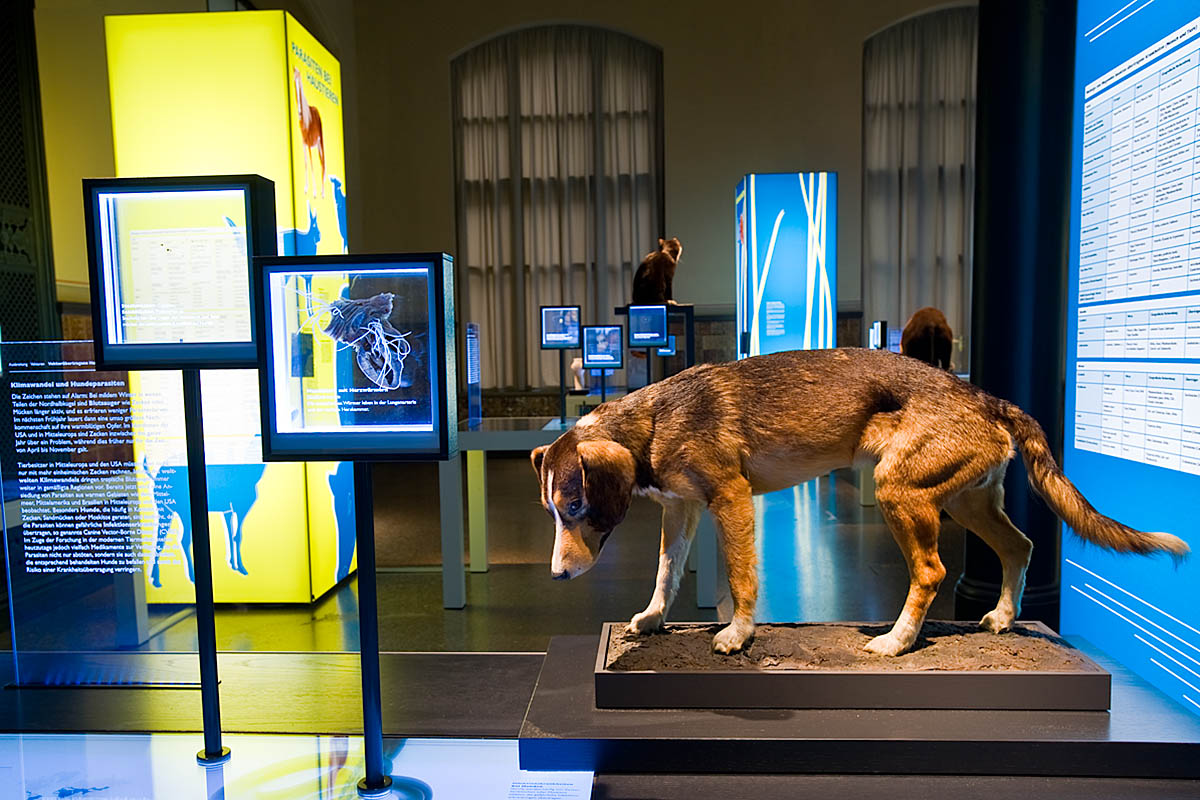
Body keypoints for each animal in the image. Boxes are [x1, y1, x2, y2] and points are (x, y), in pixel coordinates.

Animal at [292, 67, 326, 199]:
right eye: (293, 80)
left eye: (300, 81)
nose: (299, 112)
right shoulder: (304, 143)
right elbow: (307, 163)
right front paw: (306, 188)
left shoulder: (310, 143)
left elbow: (311, 164)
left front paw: (315, 191)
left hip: (320, 142)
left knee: (323, 164)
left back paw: (322, 192)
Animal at [535, 350, 1190, 657]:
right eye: (555, 512)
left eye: (576, 507)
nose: (557, 576)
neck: (654, 418)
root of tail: (986, 397)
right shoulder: (682, 509)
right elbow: (667, 572)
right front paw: (650, 619)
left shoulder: (731, 499)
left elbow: (742, 579)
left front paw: (738, 634)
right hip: (967, 504)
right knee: (1020, 546)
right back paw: (1004, 618)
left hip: (901, 493)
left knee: (932, 572)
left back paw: (897, 642)